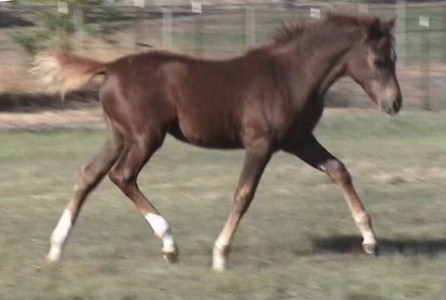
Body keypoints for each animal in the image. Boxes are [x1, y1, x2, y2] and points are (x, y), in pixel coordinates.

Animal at [31, 12, 400, 270]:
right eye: (378, 60)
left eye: (394, 58)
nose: (394, 103)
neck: (290, 76)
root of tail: (111, 66)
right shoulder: (261, 144)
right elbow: (243, 194)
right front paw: (221, 254)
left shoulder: (298, 140)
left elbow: (339, 170)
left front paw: (370, 241)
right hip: (145, 137)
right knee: (122, 176)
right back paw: (169, 244)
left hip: (119, 136)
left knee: (88, 175)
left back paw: (56, 247)